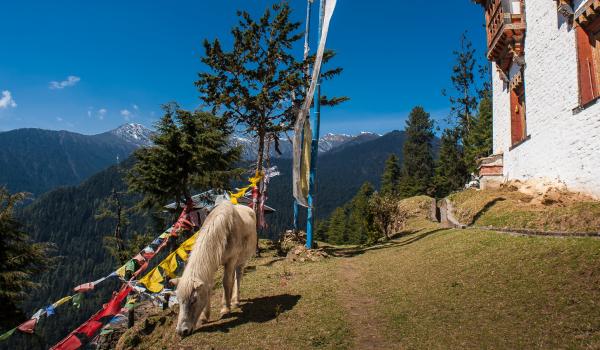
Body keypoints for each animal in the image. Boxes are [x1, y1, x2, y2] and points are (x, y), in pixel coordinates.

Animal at [173, 200, 258, 336]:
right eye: (179, 300)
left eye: (193, 300)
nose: (182, 331)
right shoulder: (212, 263)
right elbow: (209, 286)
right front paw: (204, 316)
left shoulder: (231, 260)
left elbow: (226, 282)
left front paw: (225, 308)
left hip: (241, 260)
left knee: (237, 276)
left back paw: (235, 300)